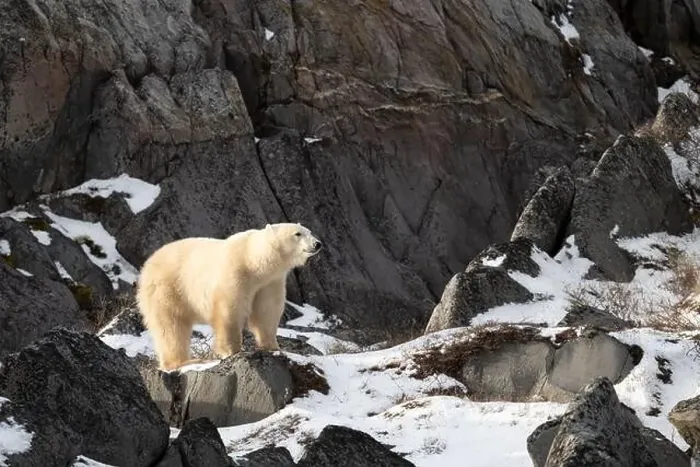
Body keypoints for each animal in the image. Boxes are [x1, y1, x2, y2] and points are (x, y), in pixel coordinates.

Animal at [136, 223, 322, 371]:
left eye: (309, 231)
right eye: (297, 234)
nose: (318, 244)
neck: (253, 261)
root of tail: (148, 264)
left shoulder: (269, 283)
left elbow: (266, 312)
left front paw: (273, 347)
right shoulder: (235, 274)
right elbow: (229, 311)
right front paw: (233, 351)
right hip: (167, 289)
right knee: (171, 326)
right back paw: (184, 361)